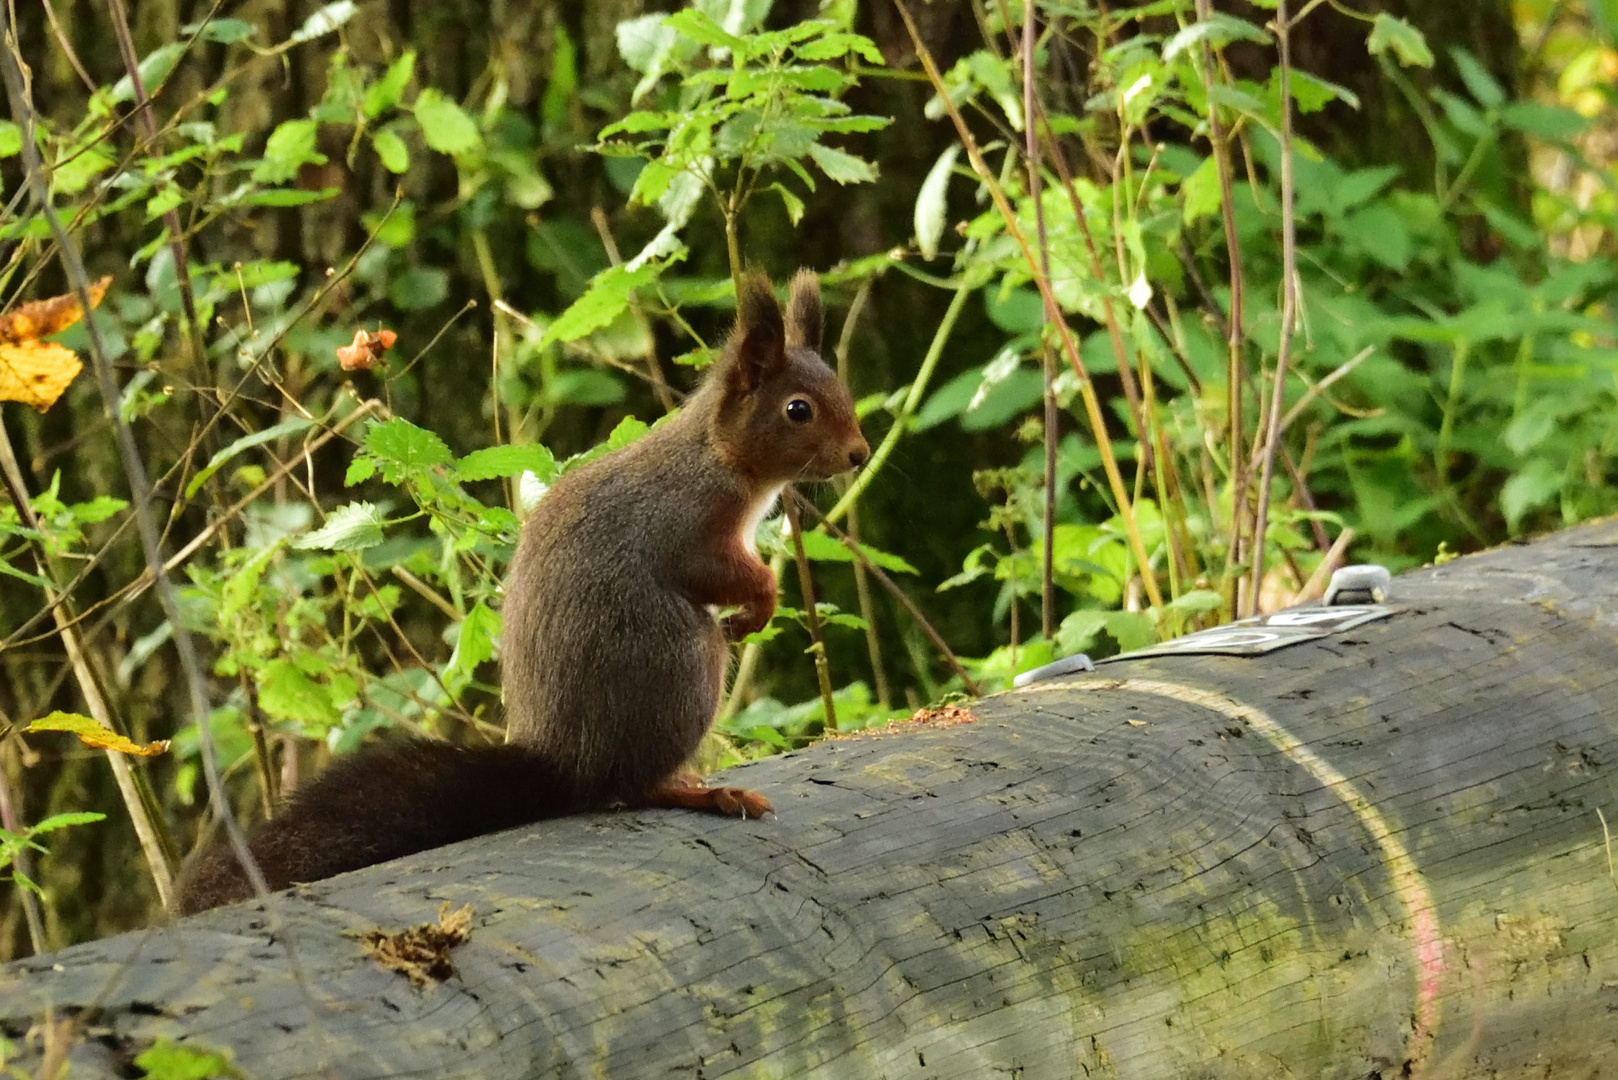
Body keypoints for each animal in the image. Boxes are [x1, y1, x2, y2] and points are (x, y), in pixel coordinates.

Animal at [170, 268, 867, 913]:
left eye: (841, 388)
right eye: (798, 409)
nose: (860, 454)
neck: (721, 455)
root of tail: (567, 761)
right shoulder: (688, 522)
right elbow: (717, 571)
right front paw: (761, 602)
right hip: (684, 665)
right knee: (630, 786)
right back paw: (704, 792)